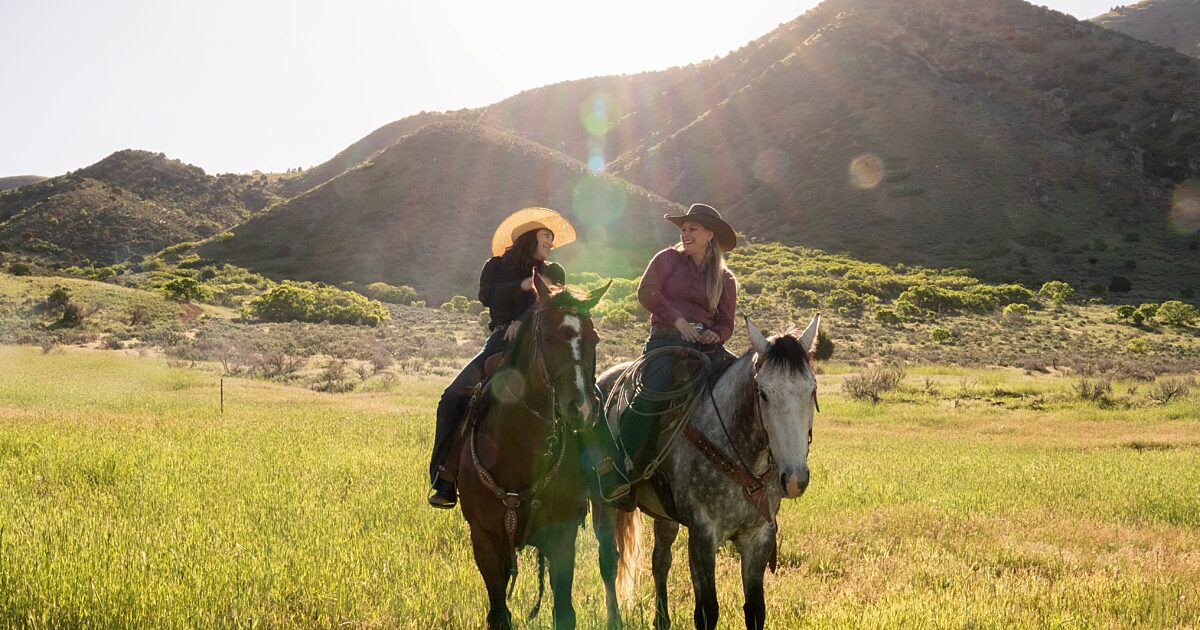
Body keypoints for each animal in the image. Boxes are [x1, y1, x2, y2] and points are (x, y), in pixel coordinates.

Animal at [456, 273, 614, 628]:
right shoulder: (485, 541)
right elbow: (499, 615)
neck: (516, 449)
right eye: (548, 337)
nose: (582, 409)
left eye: (595, 339)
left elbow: (565, 613)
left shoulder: (562, 536)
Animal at [592, 316, 820, 624]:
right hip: (603, 503)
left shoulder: (758, 537)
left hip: (665, 516)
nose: (795, 479)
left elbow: (755, 609)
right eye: (763, 393)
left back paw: (662, 620)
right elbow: (707, 610)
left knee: (660, 560)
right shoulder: (703, 536)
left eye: (812, 390)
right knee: (609, 562)